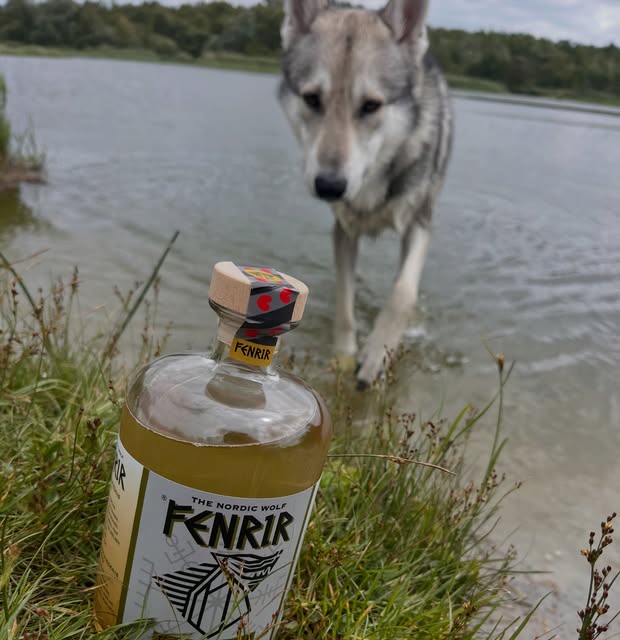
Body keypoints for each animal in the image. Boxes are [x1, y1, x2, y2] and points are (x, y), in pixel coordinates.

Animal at [279, 0, 453, 389]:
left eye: (371, 105)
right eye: (312, 99)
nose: (329, 185)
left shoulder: (420, 224)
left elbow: (402, 294)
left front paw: (376, 354)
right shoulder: (343, 231)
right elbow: (345, 302)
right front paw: (344, 357)